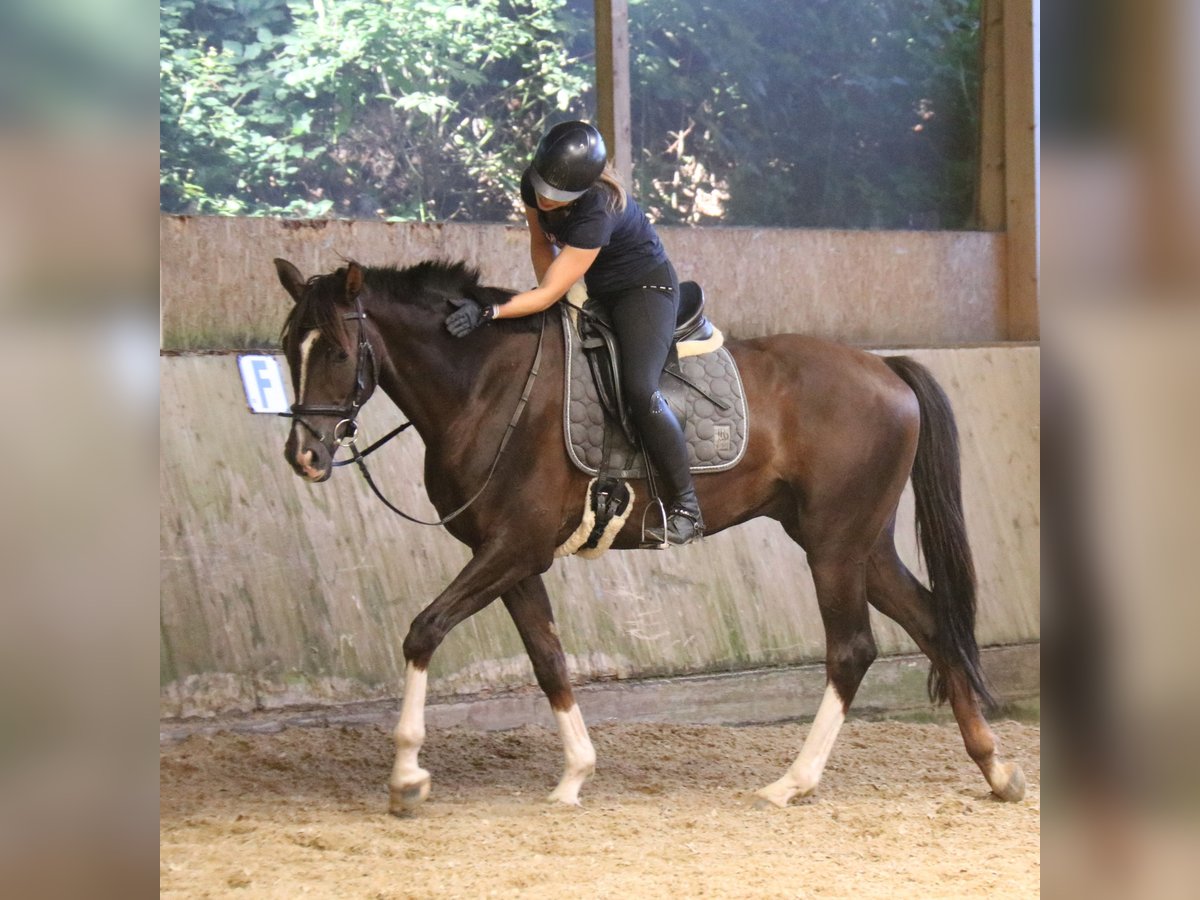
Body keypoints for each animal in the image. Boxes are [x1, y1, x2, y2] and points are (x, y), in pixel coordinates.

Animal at [276, 255, 1027, 816]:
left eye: (338, 350)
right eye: (288, 347)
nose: (304, 455)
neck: (487, 386)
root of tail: (884, 367)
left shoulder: (513, 546)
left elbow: (425, 630)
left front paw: (407, 775)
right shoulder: (512, 557)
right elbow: (548, 657)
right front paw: (575, 774)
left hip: (835, 546)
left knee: (853, 649)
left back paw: (793, 782)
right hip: (859, 543)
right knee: (933, 621)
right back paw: (994, 768)